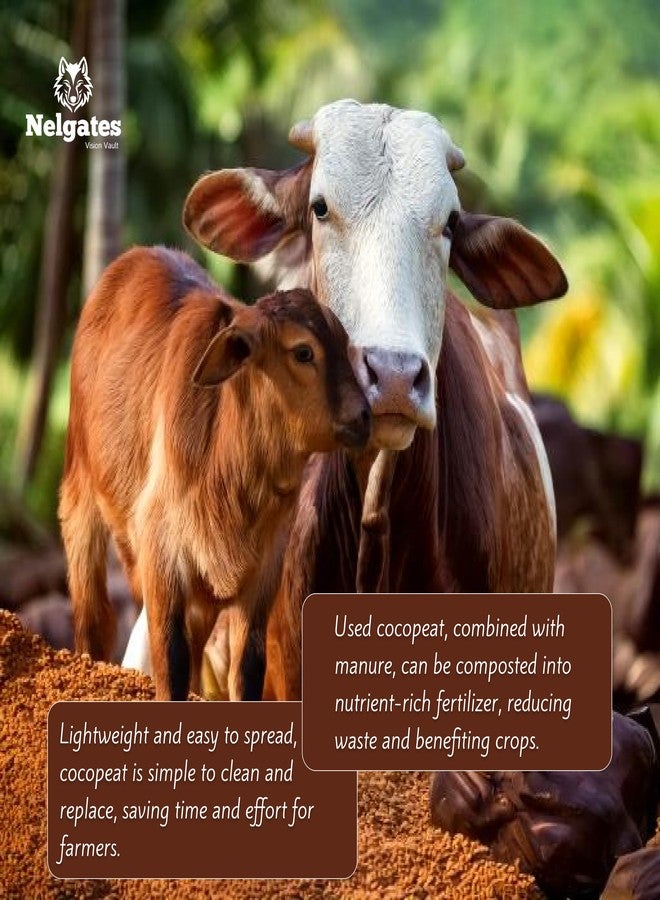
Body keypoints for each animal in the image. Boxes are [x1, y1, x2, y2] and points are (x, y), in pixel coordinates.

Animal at [59, 246, 370, 700]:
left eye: (344, 345)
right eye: (303, 352)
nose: (364, 415)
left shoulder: (263, 571)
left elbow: (247, 669)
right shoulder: (162, 555)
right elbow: (170, 660)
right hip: (80, 498)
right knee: (93, 619)